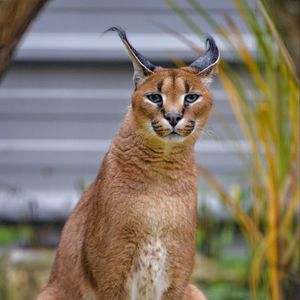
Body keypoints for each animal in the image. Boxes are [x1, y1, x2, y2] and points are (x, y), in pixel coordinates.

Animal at [38, 27, 219, 298]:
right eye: (154, 97)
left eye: (191, 98)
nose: (173, 117)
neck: (161, 176)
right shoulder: (112, 277)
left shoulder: (177, 279)